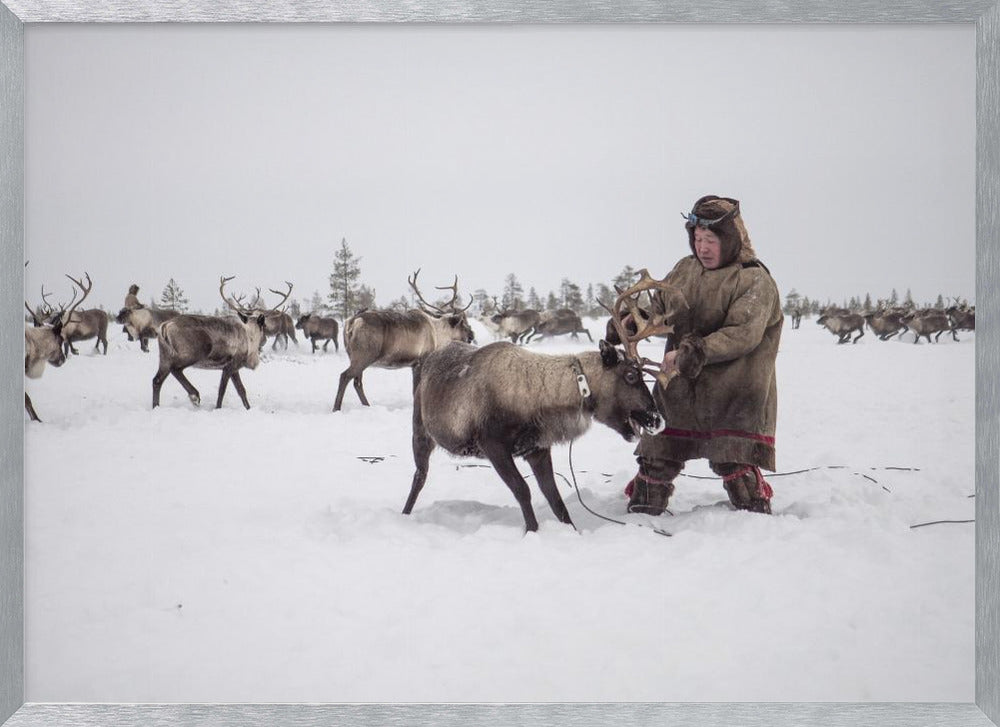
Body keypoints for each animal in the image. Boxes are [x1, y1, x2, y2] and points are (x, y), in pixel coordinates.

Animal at [151, 277, 291, 409]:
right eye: (264, 326)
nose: (264, 341)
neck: (249, 336)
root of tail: (165, 326)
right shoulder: (229, 366)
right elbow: (222, 391)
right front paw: (218, 408)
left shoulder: (234, 369)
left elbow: (241, 390)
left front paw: (248, 408)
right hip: (192, 354)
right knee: (175, 369)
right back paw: (194, 395)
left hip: (164, 356)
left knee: (157, 380)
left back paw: (156, 406)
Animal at [333, 269, 475, 412]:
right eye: (463, 324)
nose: (472, 335)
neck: (437, 332)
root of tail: (353, 321)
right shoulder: (421, 360)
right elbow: (416, 388)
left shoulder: (413, 365)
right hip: (364, 356)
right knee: (345, 376)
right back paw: (336, 408)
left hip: (354, 356)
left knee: (357, 382)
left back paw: (367, 406)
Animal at [402, 271, 689, 533]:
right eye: (631, 375)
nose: (657, 420)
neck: (542, 398)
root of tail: (428, 358)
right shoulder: (492, 443)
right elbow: (523, 490)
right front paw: (532, 531)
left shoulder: (538, 448)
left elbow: (555, 498)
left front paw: (571, 530)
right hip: (421, 430)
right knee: (419, 476)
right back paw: (405, 514)